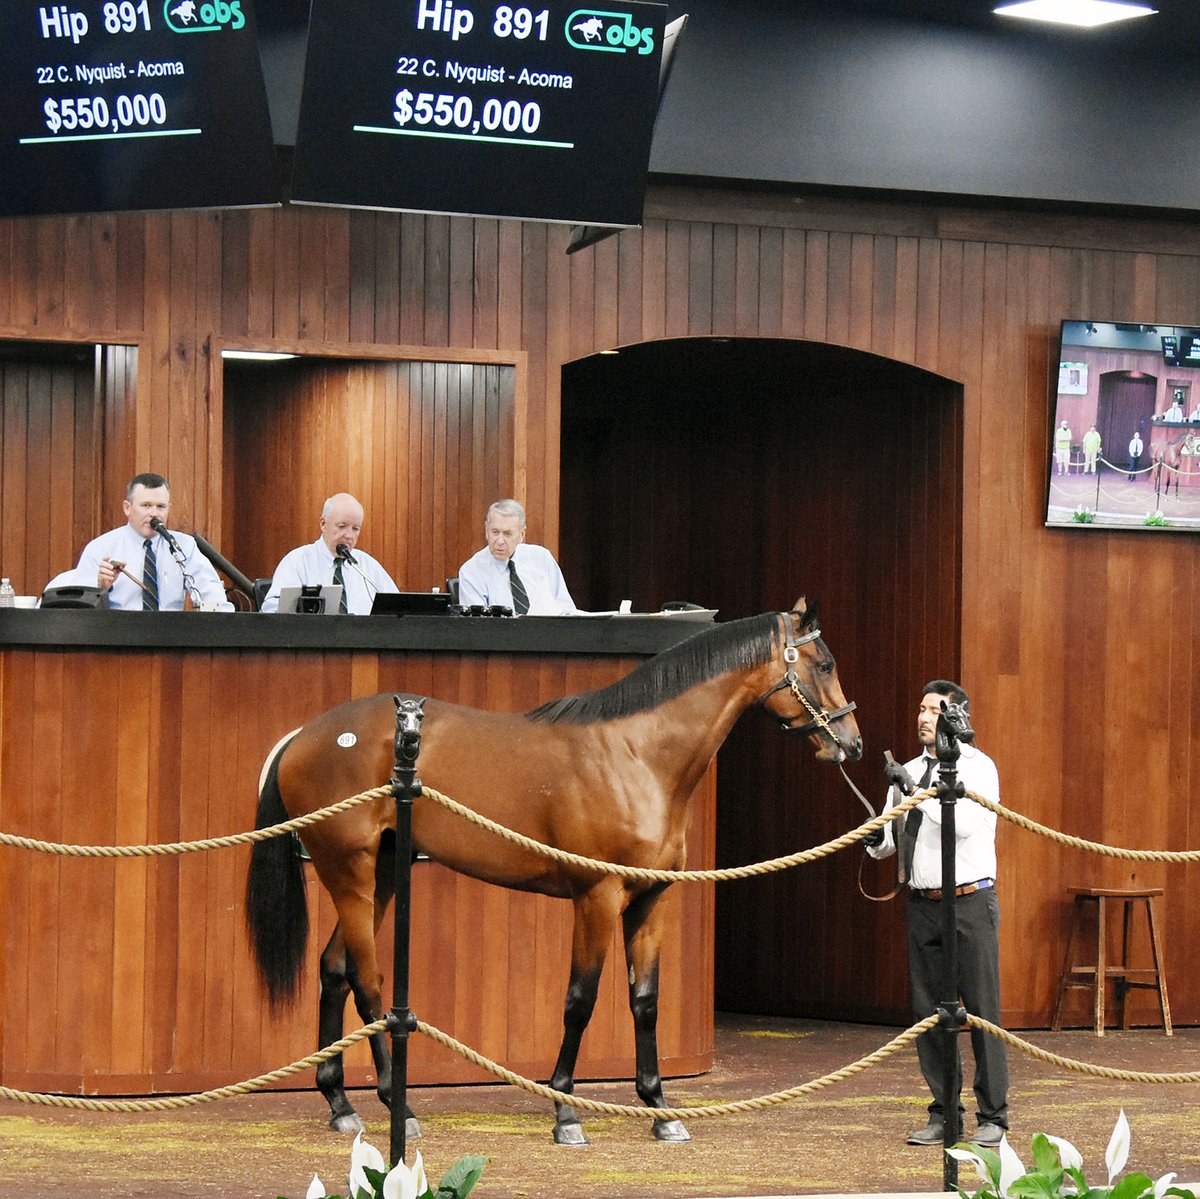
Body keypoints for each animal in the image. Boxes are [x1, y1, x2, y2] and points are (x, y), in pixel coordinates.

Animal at [246, 600, 864, 1142]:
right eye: (825, 664)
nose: (852, 744)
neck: (637, 755)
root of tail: (306, 735)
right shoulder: (597, 896)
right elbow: (580, 1001)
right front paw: (566, 1111)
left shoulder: (652, 900)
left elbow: (645, 1002)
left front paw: (659, 1110)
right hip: (351, 874)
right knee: (369, 983)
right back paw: (400, 1104)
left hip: (379, 878)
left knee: (333, 970)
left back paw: (340, 1103)